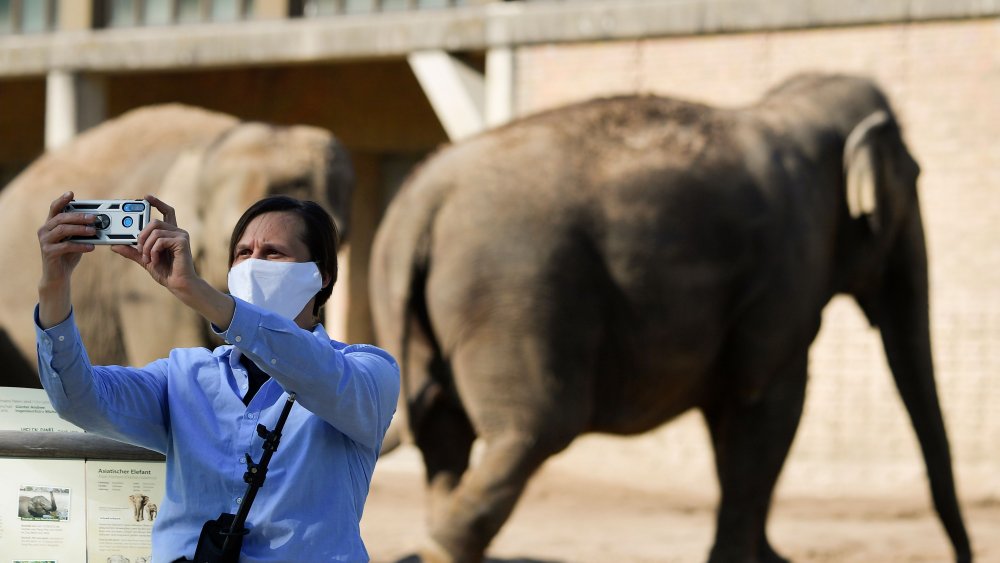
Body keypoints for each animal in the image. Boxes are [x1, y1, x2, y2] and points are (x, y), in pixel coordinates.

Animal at [372, 74, 972, 563]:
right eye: (914, 179)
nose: (963, 556)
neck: (794, 105)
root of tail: (420, 201)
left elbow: (728, 421)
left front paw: (769, 560)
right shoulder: (786, 272)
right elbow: (769, 405)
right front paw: (741, 561)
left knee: (445, 434)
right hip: (514, 292)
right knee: (535, 428)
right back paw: (439, 547)